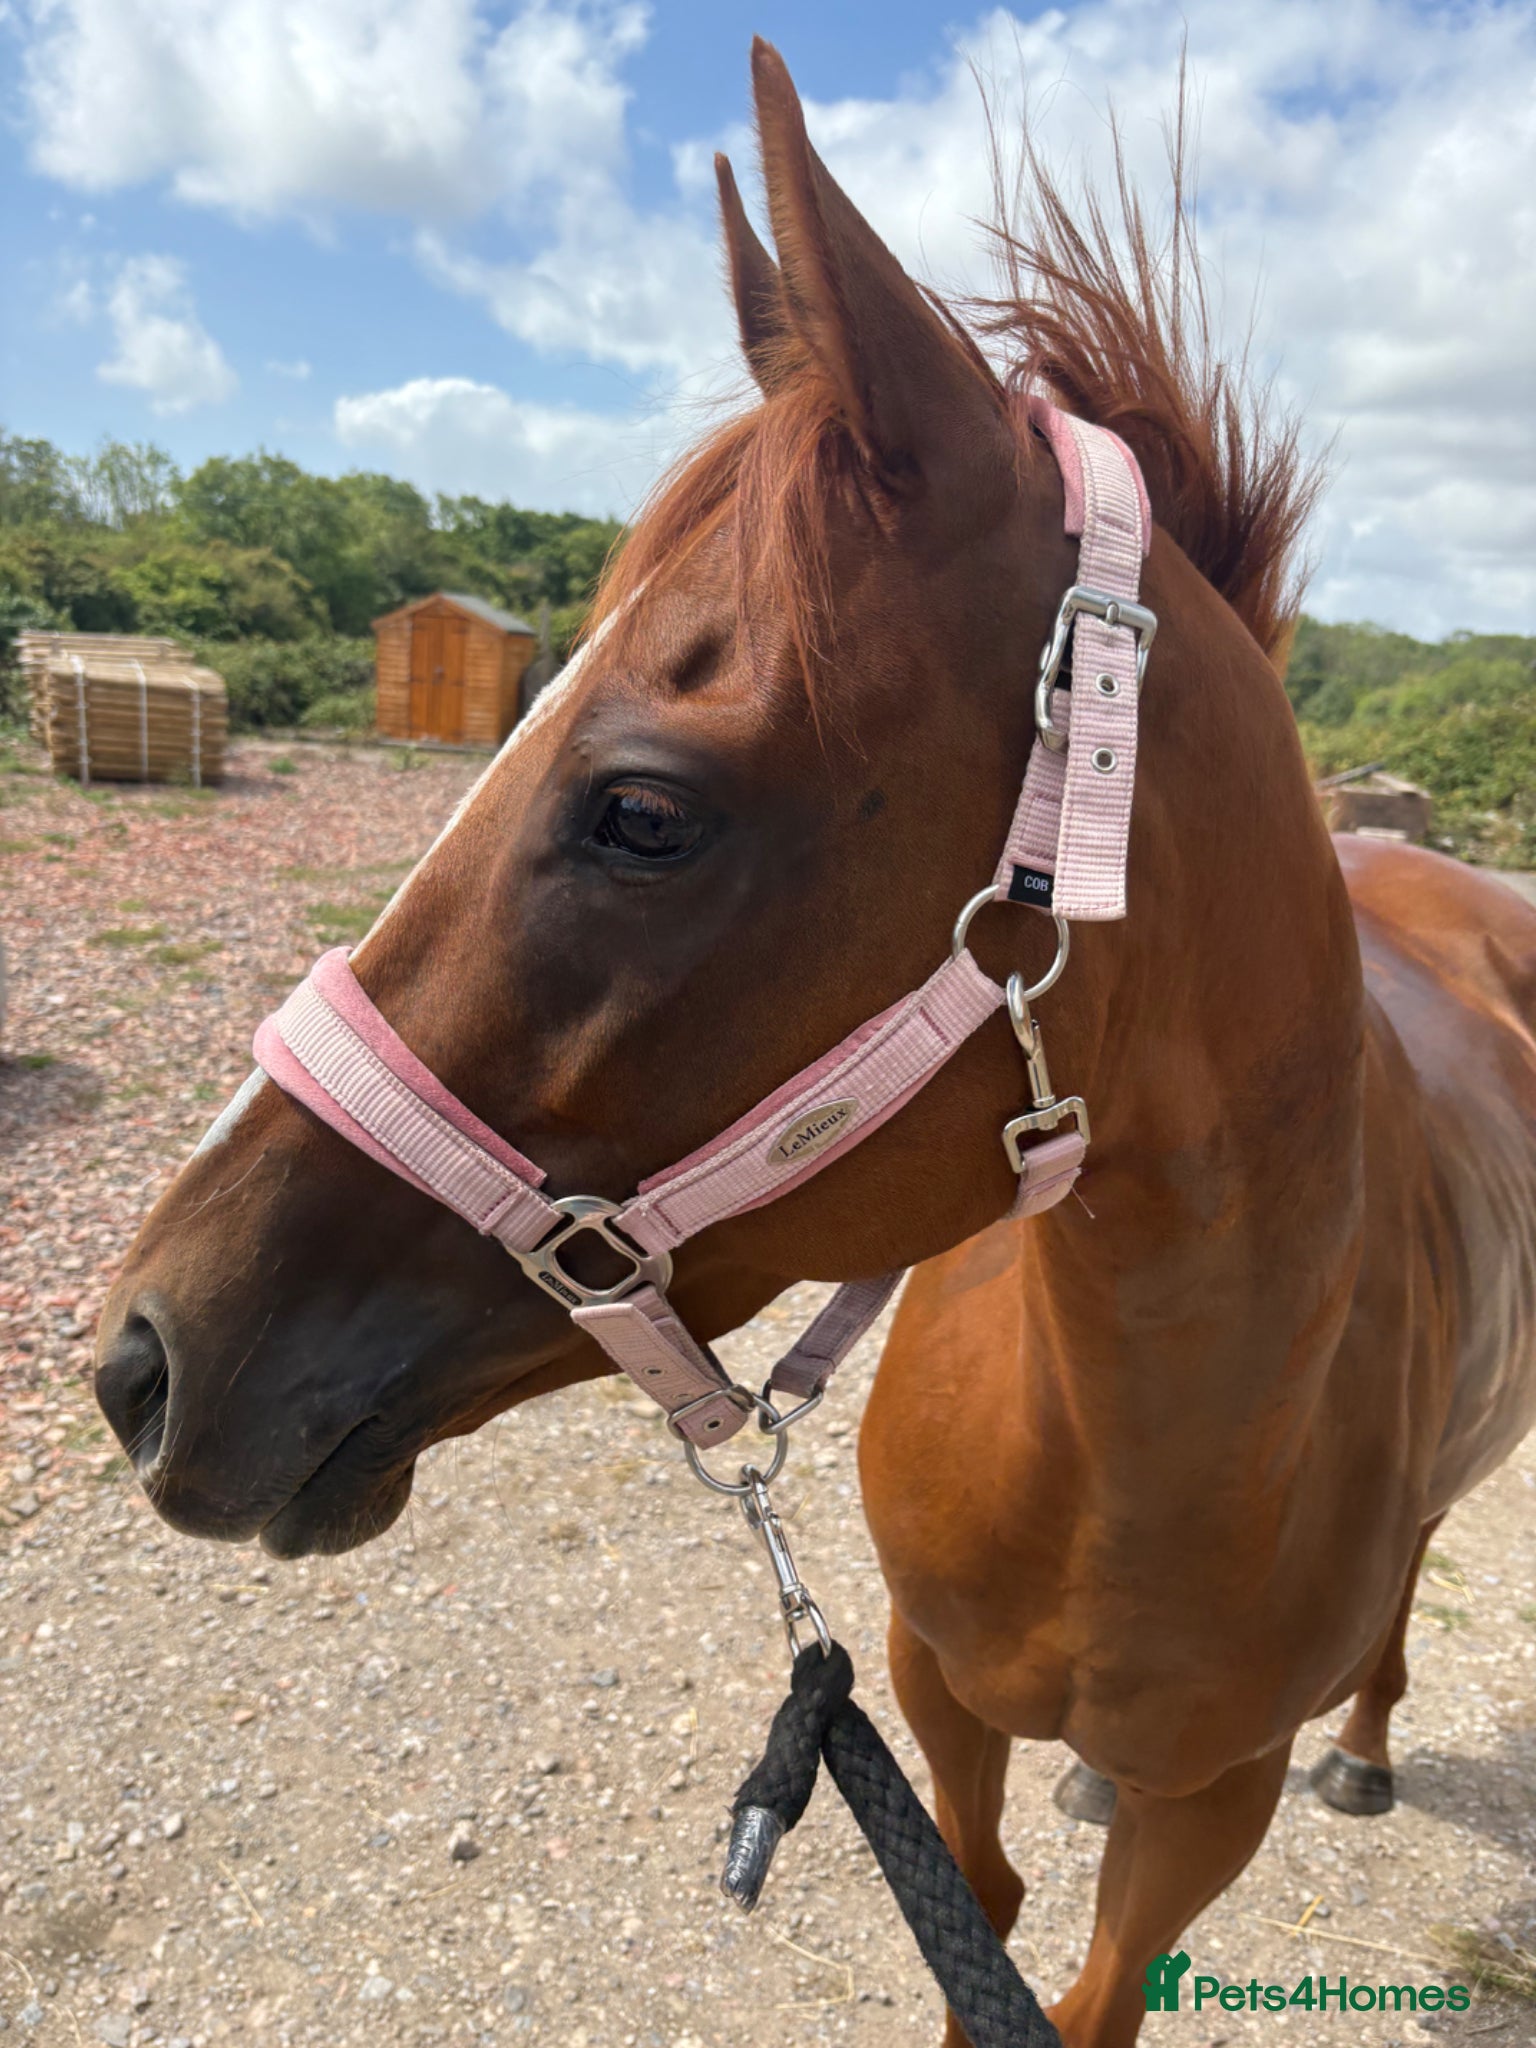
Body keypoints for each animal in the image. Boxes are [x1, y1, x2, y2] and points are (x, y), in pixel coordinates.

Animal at [93, 40, 1536, 2048]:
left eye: (641, 809)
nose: (141, 1358)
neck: (1141, 1440)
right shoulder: (929, 1689)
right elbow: (981, 1898)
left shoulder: (1209, 1810)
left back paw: (1373, 1744)